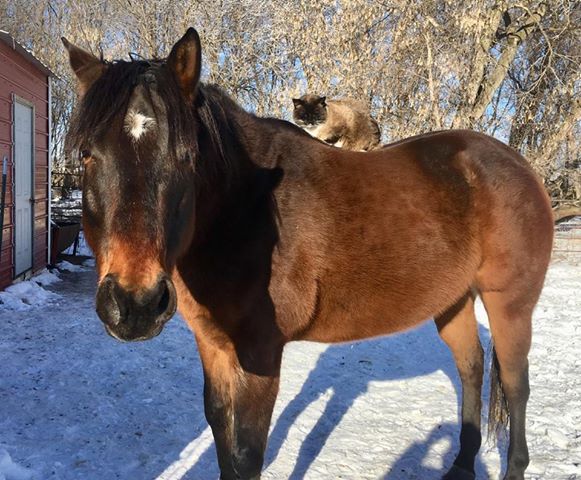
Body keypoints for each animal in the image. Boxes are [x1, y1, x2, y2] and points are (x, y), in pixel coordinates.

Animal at [62, 27, 552, 480]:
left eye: (186, 157)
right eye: (87, 154)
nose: (135, 304)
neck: (246, 209)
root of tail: (519, 165)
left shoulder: (260, 353)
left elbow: (247, 453)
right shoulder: (214, 345)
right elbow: (221, 434)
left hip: (510, 305)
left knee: (516, 384)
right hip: (452, 301)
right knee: (471, 367)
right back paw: (462, 465)